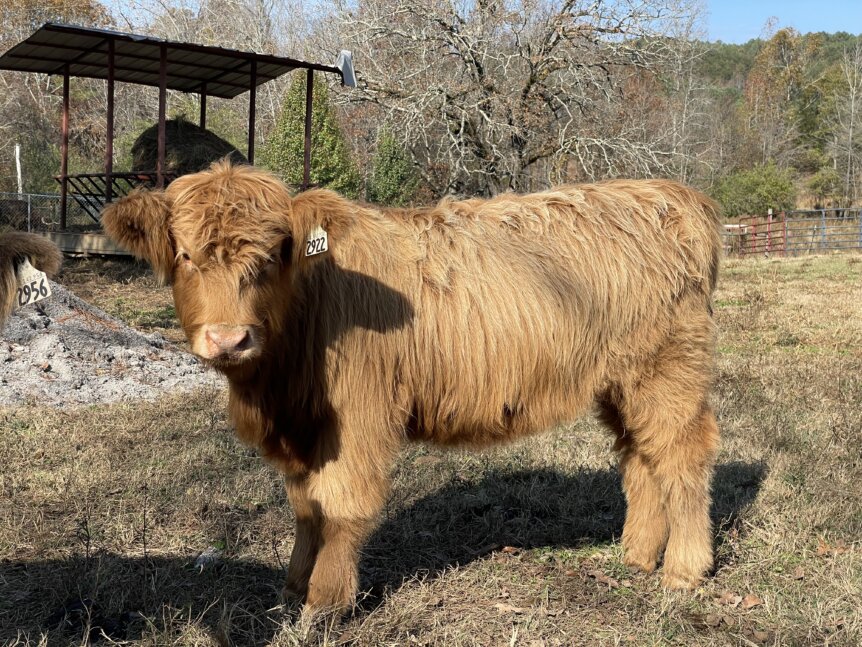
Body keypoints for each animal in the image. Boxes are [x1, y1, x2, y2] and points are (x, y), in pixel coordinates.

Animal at [102, 162, 722, 613]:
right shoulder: (301, 429)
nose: (229, 339)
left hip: (667, 371)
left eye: (272, 256)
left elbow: (341, 504)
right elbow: (305, 507)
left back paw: (683, 571)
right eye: (185, 255)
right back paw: (636, 555)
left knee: (683, 457)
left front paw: (324, 603)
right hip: (621, 384)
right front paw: (292, 587)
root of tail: (670, 195)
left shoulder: (357, 417)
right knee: (641, 457)